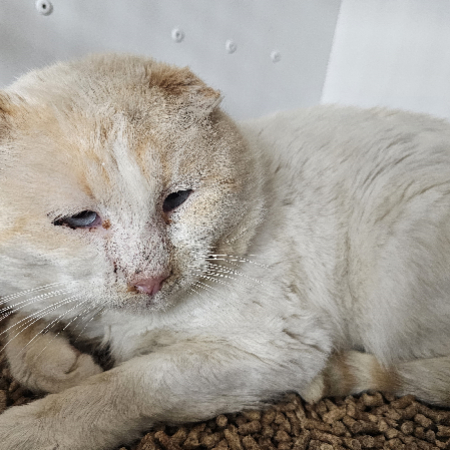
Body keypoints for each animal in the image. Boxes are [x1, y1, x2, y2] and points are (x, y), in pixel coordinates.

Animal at [0, 53, 450, 450]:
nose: (151, 278)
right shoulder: (42, 297)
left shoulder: (272, 347)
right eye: (80, 220)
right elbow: (19, 335)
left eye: (177, 199)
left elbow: (121, 388)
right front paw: (68, 369)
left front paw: (27, 428)